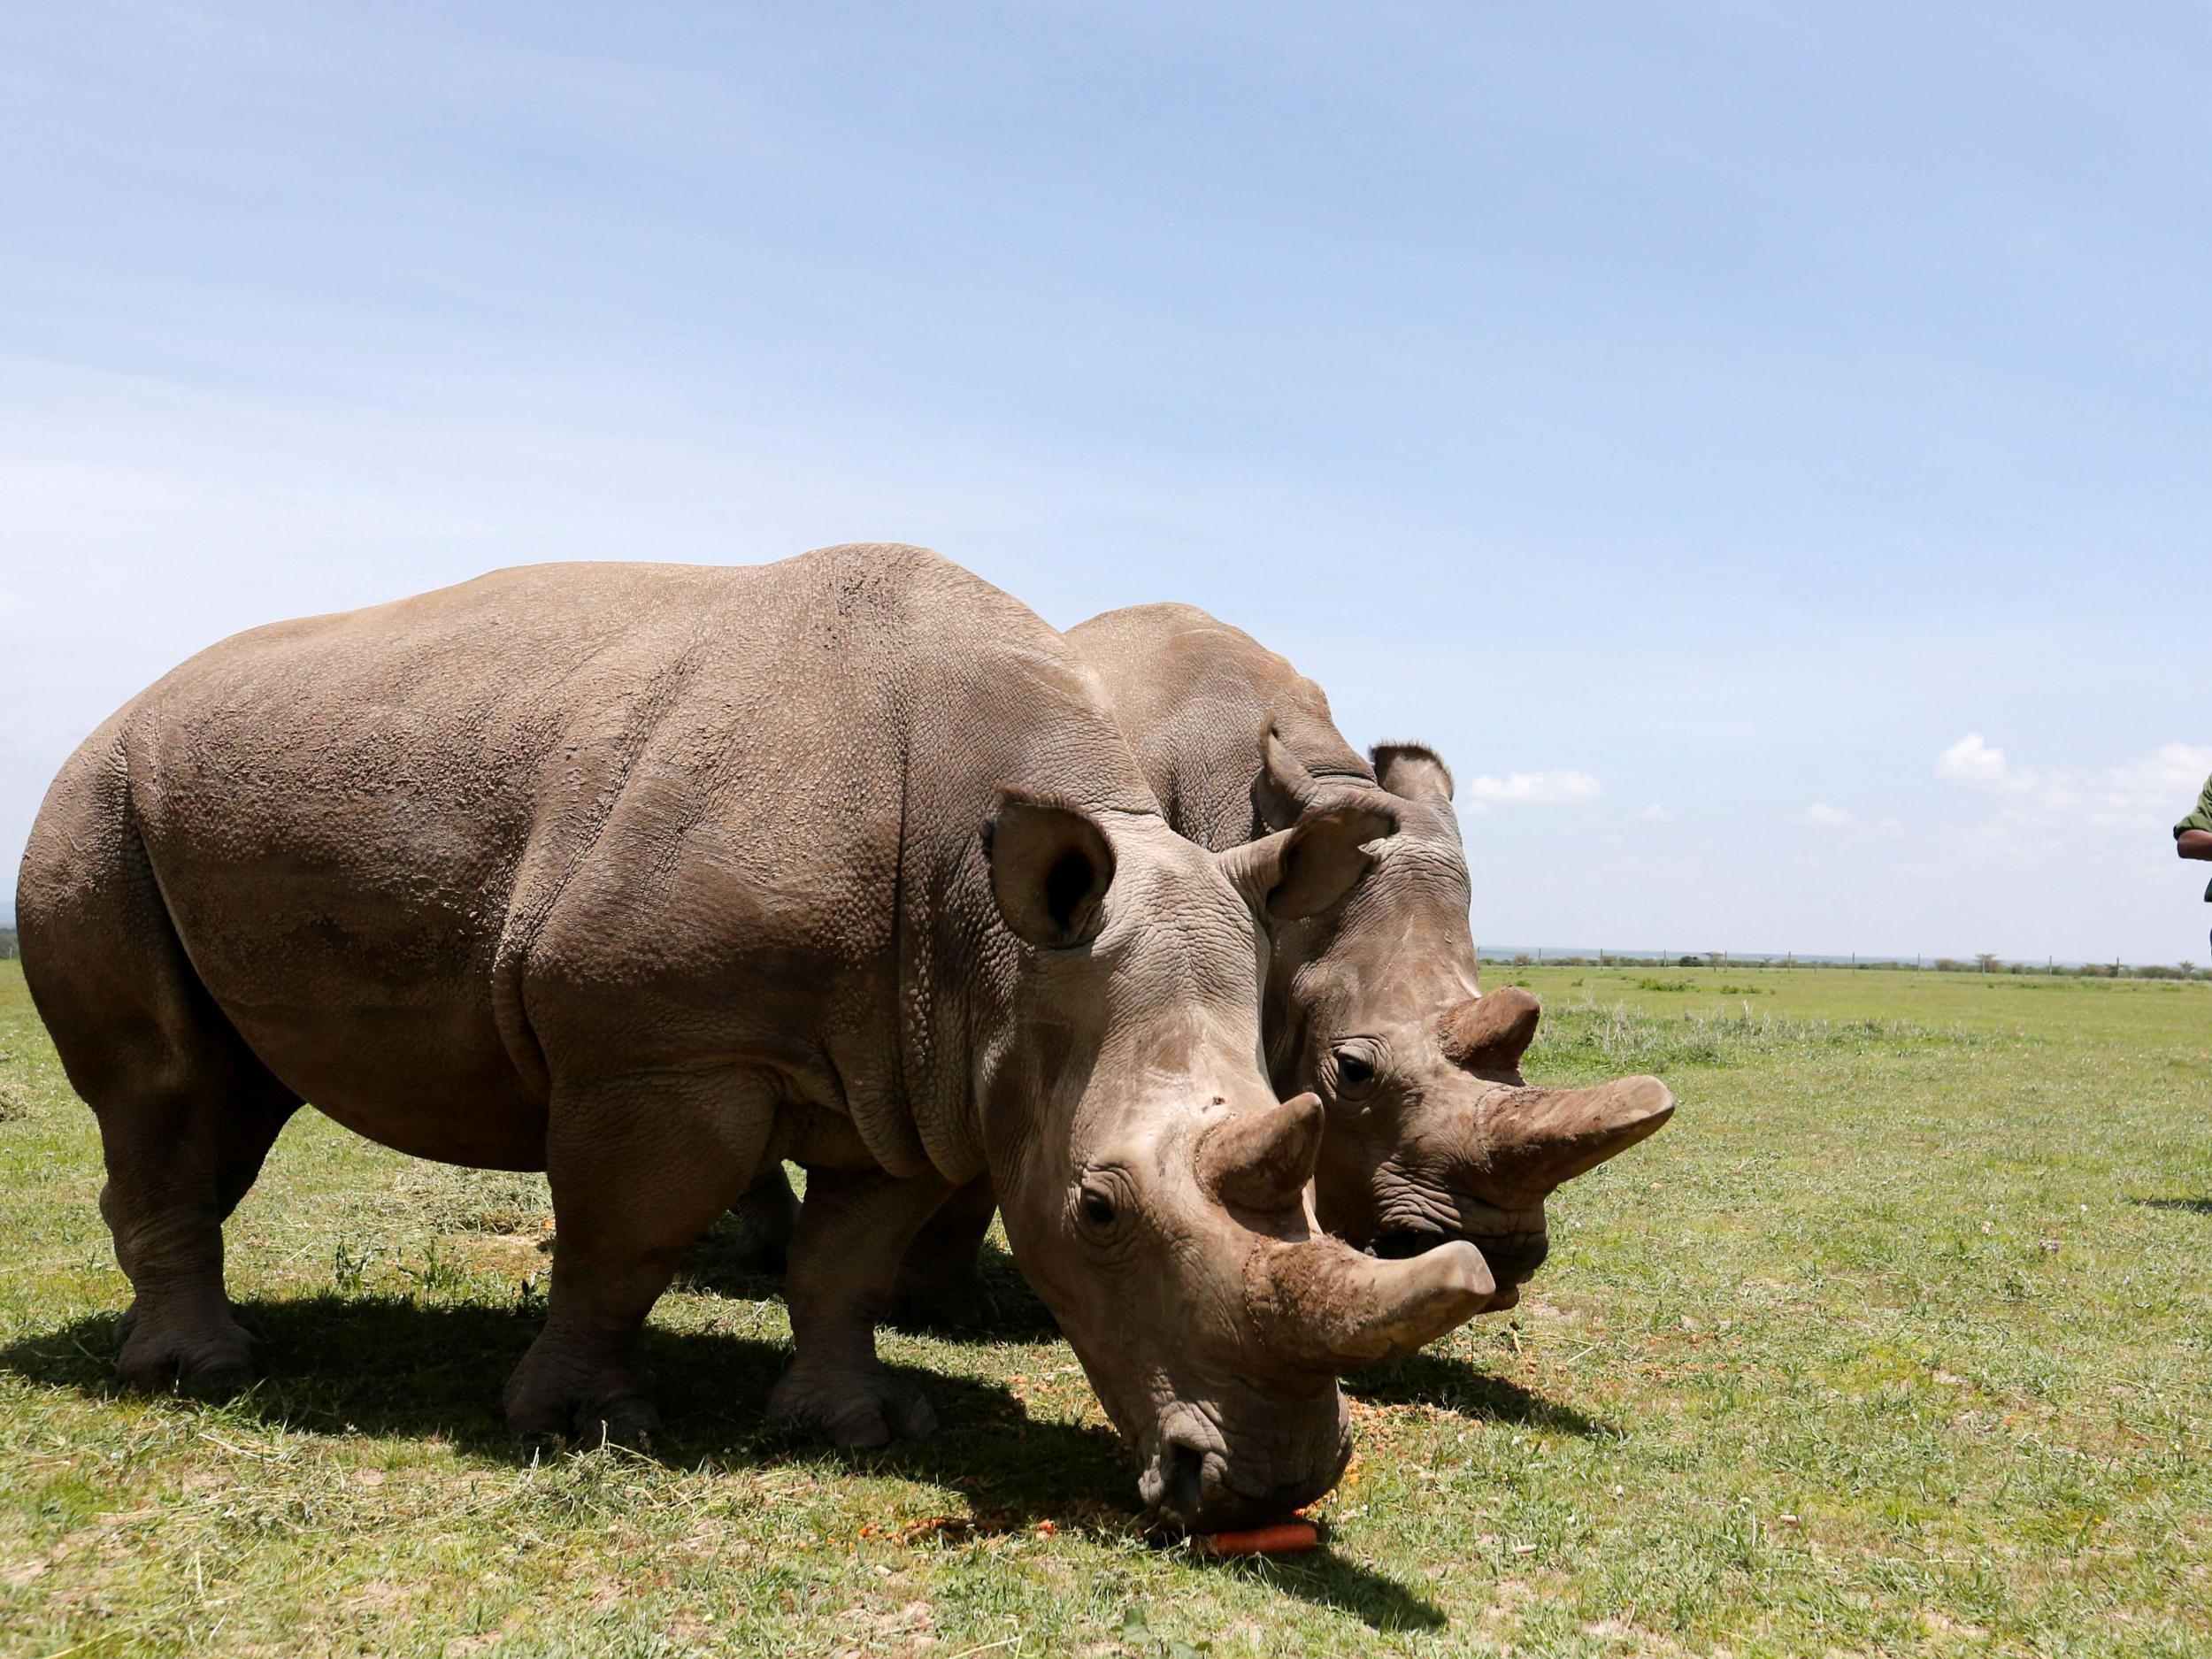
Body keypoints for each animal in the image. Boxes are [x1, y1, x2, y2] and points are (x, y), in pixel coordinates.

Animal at [17, 549, 1495, 1531]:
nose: (1267, 1483)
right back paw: (201, 1375)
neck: (998, 935)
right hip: (94, 797)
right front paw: (586, 1425)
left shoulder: (926, 1066)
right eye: (1097, 1210)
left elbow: (848, 1258)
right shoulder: (658, 1044)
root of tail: (126, 703)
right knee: (160, 1084)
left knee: (233, 1092)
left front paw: (860, 1424)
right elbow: (623, 1238)